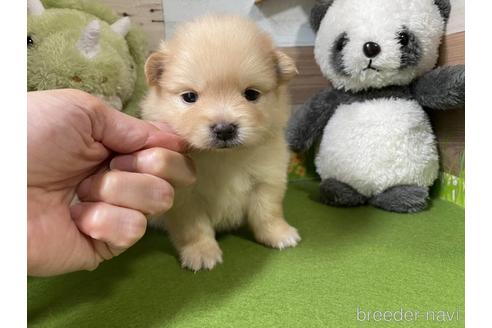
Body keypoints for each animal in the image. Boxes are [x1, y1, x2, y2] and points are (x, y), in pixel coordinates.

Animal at [139, 14, 300, 272]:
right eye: (190, 97)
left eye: (251, 94)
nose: (224, 129)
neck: (223, 157)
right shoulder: (185, 197)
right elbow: (194, 228)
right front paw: (201, 253)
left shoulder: (267, 180)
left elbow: (268, 213)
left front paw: (279, 234)